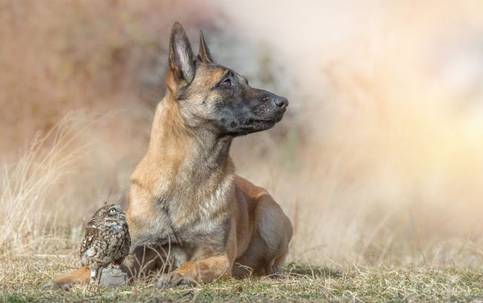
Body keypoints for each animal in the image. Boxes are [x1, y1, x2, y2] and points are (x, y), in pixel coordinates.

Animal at [54, 22, 294, 290]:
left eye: (246, 81)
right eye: (226, 82)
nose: (283, 102)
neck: (187, 173)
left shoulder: (218, 257)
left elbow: (195, 265)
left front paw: (177, 275)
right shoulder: (137, 252)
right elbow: (94, 266)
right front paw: (69, 277)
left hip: (269, 216)